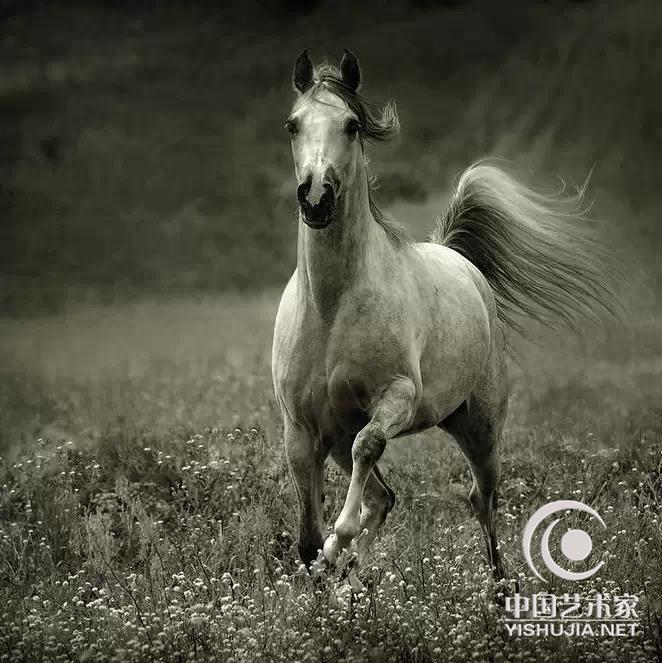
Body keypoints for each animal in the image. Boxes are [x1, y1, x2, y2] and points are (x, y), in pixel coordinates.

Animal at [272, 50, 616, 580]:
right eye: (293, 124)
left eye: (352, 125)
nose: (316, 198)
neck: (332, 307)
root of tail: (460, 258)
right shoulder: (302, 429)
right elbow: (307, 540)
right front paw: (329, 572)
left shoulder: (398, 397)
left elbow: (367, 449)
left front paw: (340, 540)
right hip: (338, 437)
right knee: (384, 498)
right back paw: (356, 582)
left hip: (480, 427)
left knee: (482, 499)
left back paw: (498, 586)